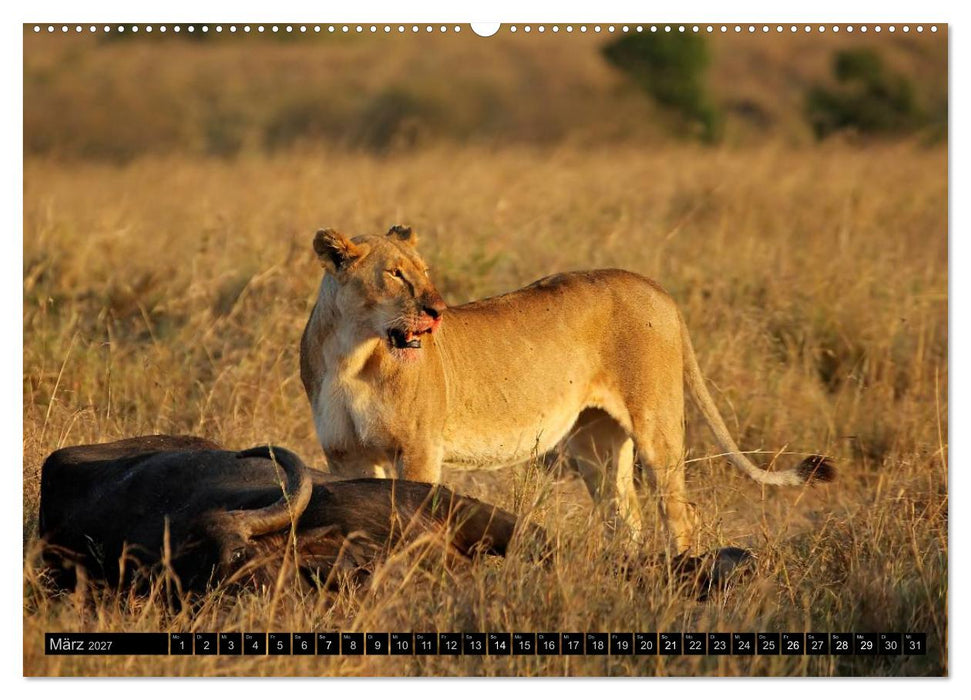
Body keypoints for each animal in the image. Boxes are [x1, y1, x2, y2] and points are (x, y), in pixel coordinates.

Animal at [299, 225, 834, 554]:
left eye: (424, 270)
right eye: (394, 273)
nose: (438, 310)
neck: (352, 353)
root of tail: (655, 286)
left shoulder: (418, 449)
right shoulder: (345, 455)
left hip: (657, 425)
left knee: (680, 514)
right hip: (596, 442)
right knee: (626, 516)